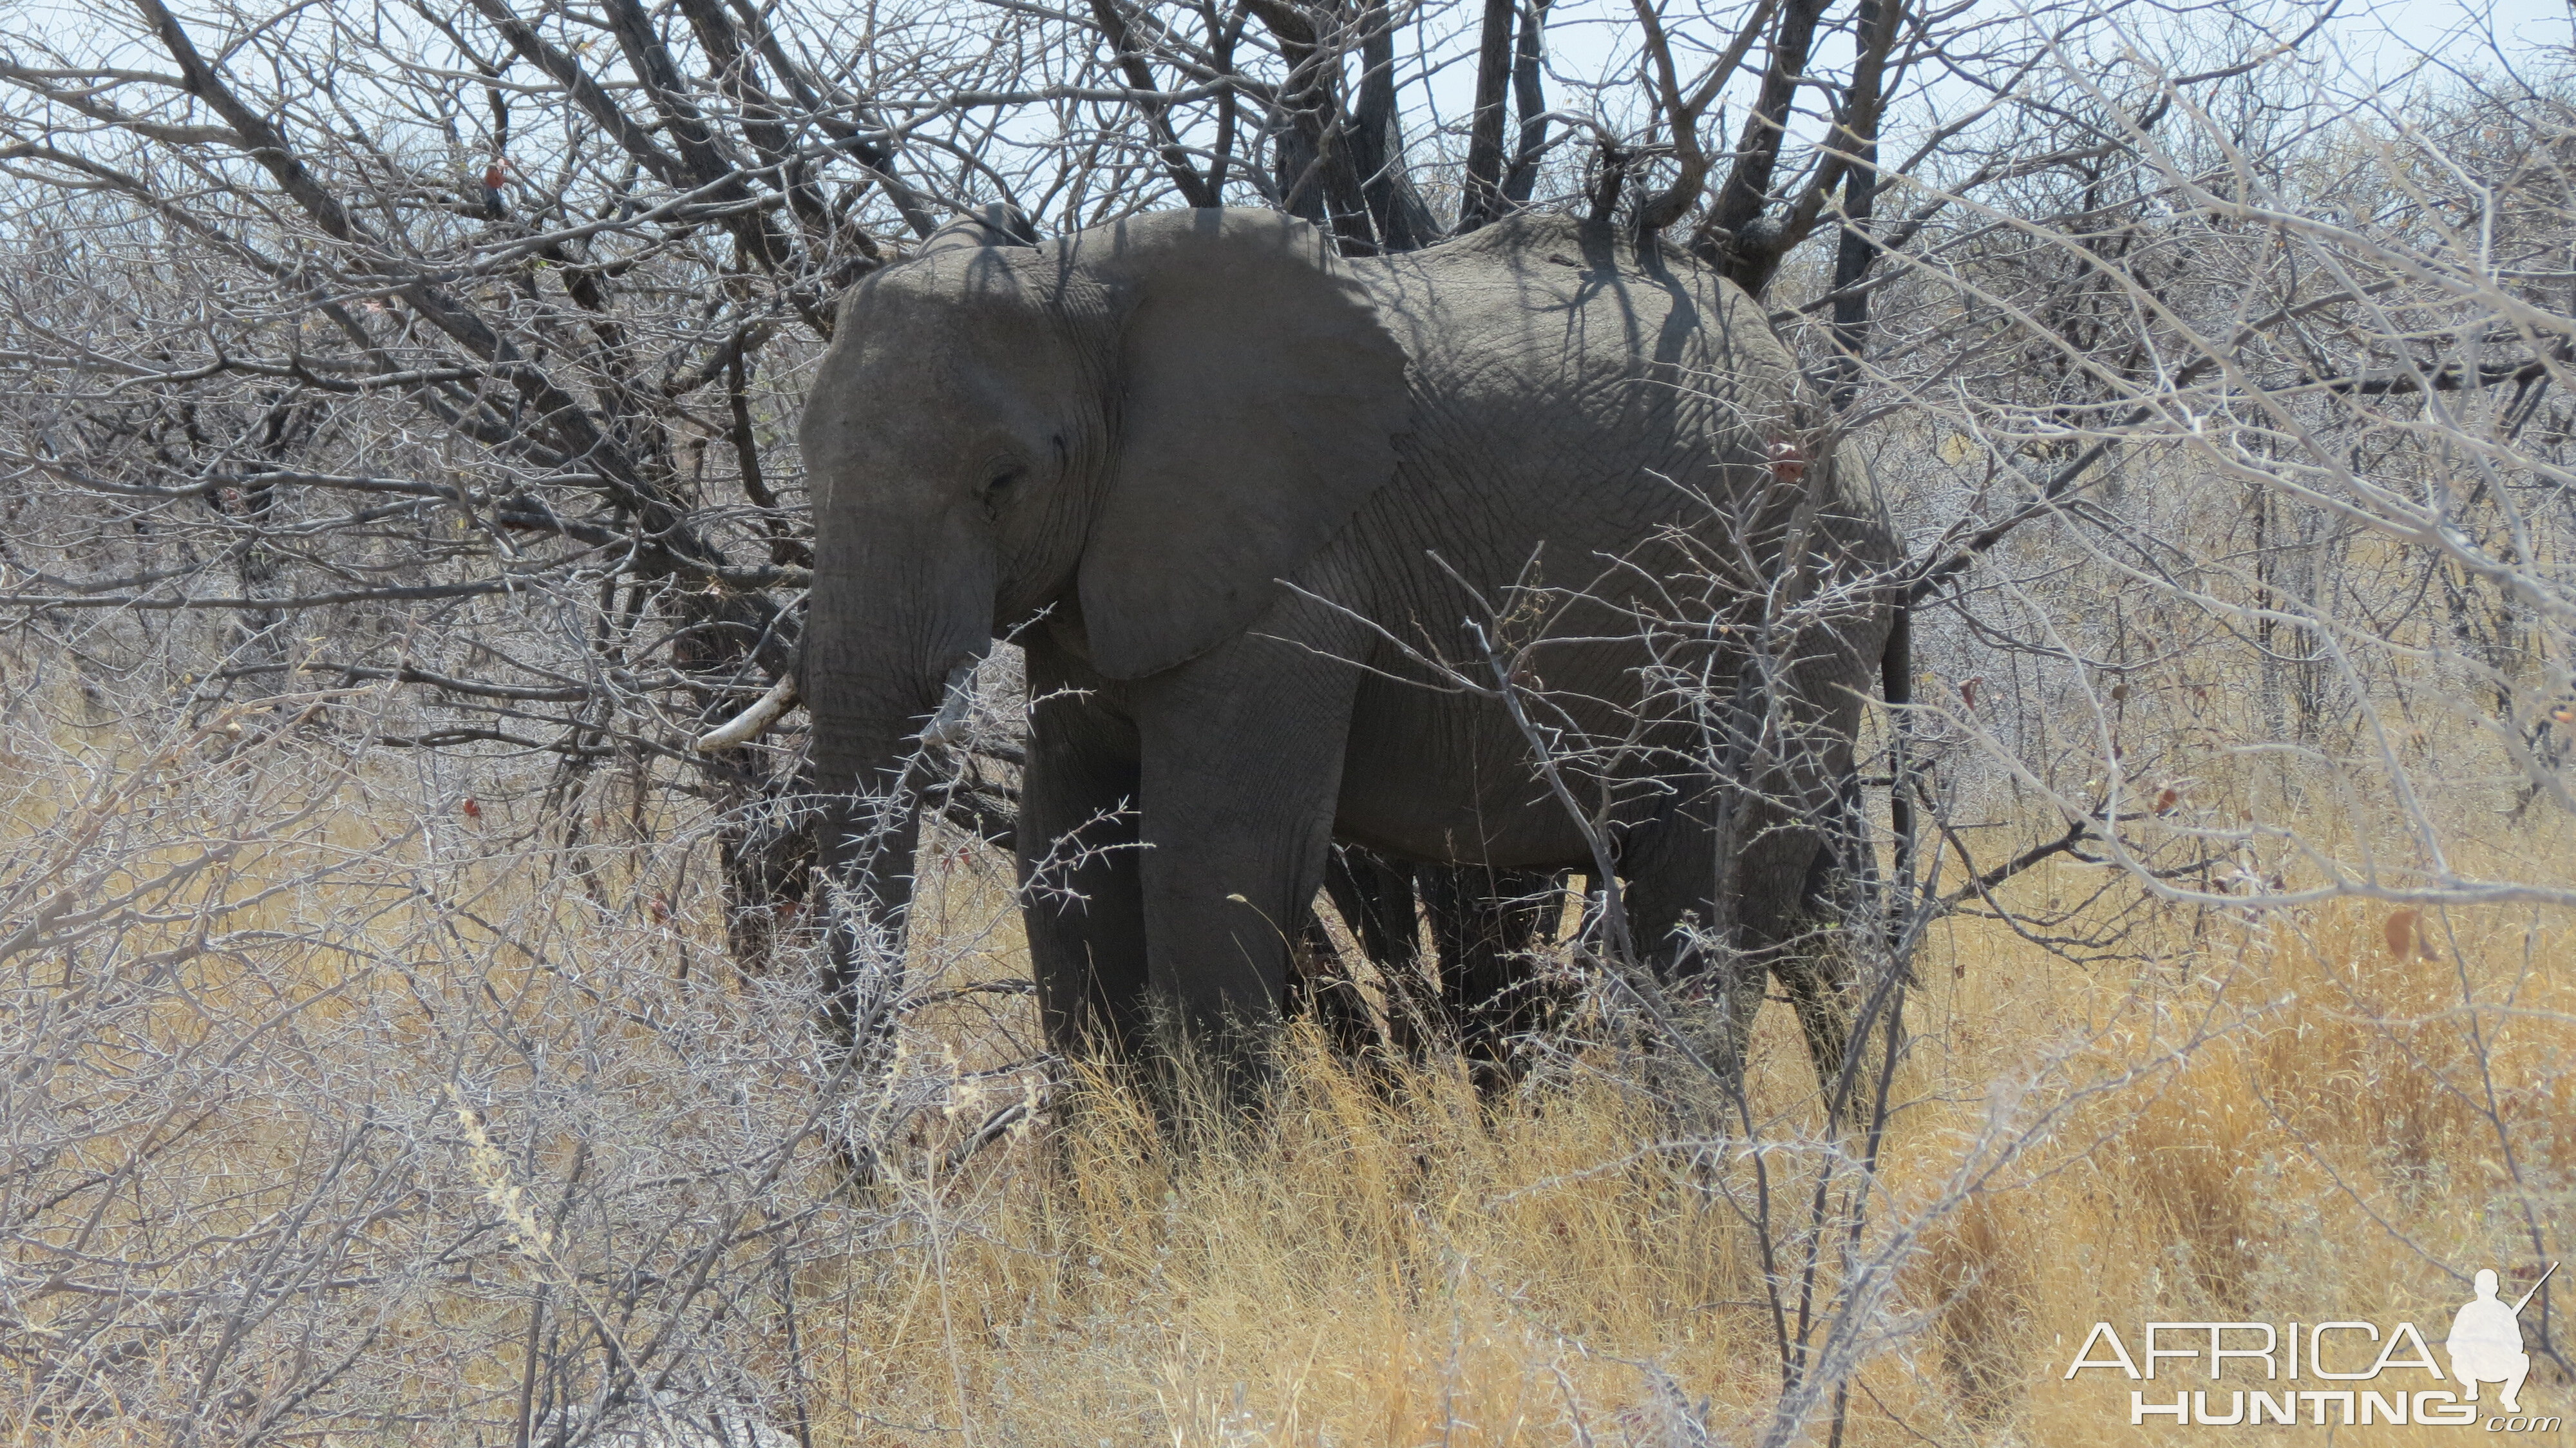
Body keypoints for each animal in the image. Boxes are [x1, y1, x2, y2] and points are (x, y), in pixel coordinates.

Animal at [752, 204, 1906, 1098]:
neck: (1082, 284)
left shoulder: (1293, 574)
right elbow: (1064, 848)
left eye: (1003, 481)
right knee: (1817, 905)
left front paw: (1212, 1211)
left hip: (1785, 605)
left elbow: (1218, 856)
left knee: (1705, 899)